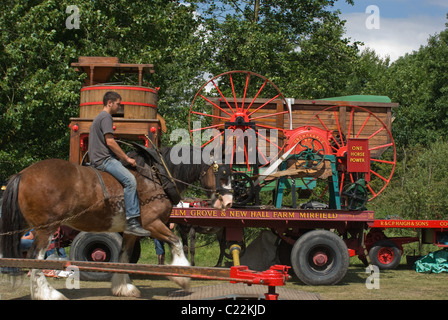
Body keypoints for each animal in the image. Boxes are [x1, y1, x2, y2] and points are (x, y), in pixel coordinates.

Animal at [0, 145, 234, 300]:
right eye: (221, 174)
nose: (228, 202)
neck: (155, 178)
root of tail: (22, 174)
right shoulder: (152, 224)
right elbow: (176, 242)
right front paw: (181, 277)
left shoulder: (132, 231)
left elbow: (123, 257)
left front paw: (124, 287)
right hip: (45, 229)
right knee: (35, 258)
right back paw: (48, 293)